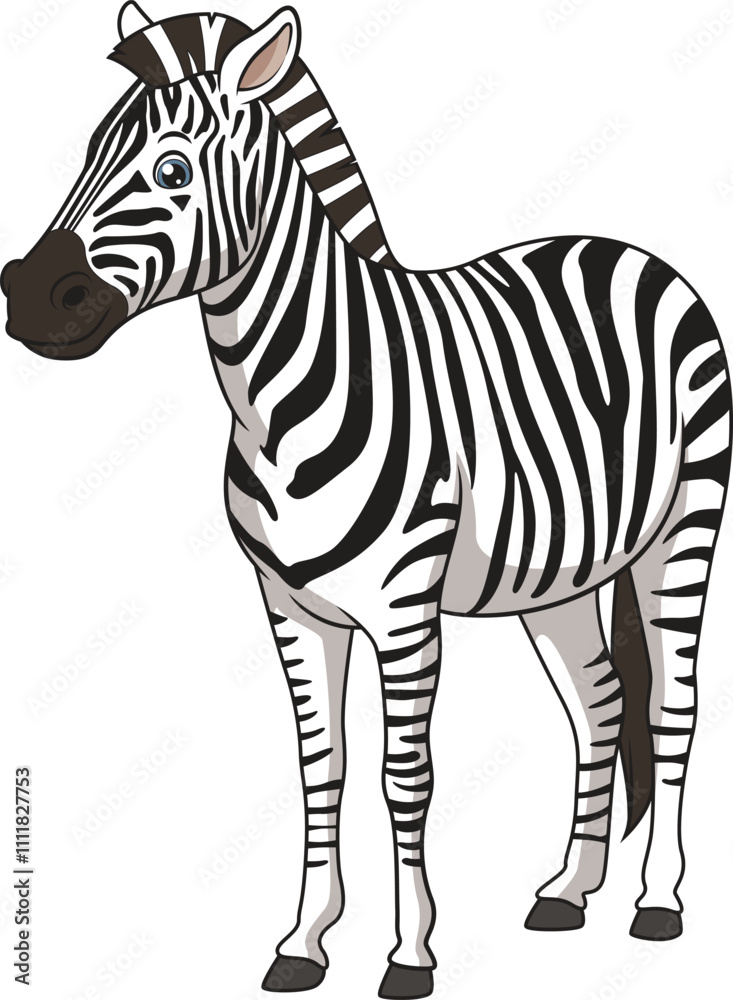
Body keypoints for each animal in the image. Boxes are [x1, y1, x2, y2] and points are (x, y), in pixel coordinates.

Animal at [2, 4, 730, 997]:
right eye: (86, 152)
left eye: (173, 170)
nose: (28, 299)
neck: (283, 398)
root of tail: (628, 250)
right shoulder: (289, 604)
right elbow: (323, 770)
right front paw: (302, 944)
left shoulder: (403, 611)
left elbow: (403, 775)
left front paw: (410, 954)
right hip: (561, 575)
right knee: (600, 705)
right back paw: (567, 892)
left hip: (683, 530)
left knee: (671, 707)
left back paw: (657, 904)